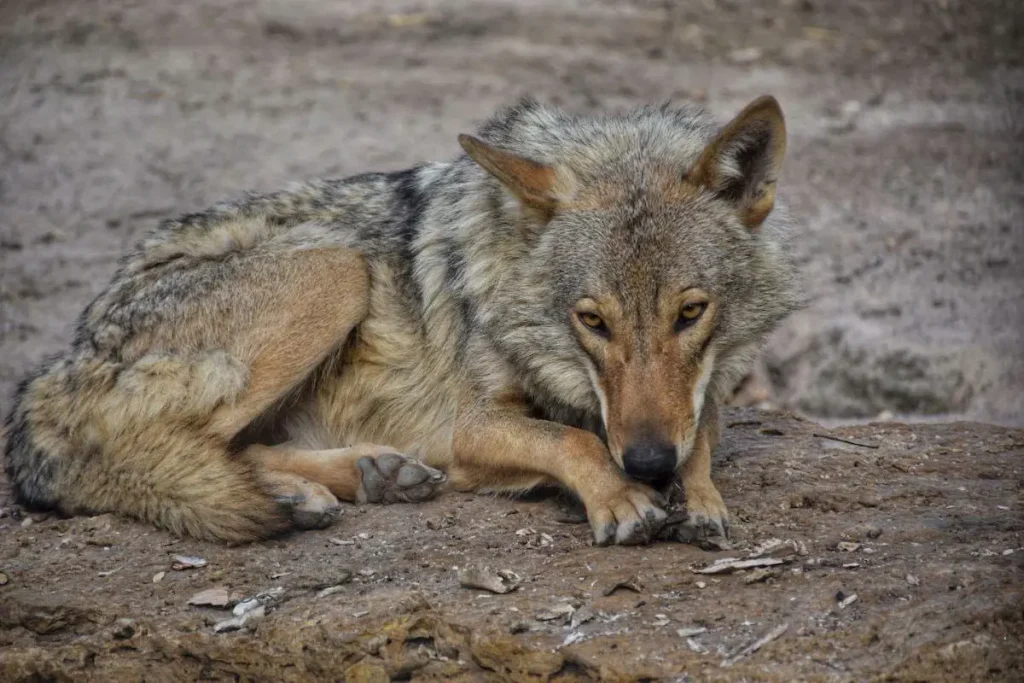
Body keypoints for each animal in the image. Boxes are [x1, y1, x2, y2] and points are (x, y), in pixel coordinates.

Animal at [4, 95, 802, 546]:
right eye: (592, 320)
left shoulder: (692, 402)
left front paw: (696, 496)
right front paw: (620, 496)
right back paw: (306, 492)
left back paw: (363, 477)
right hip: (336, 271)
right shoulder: (471, 426)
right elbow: (572, 438)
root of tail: (54, 365)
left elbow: (697, 434)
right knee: (153, 450)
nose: (647, 464)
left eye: (690, 313)